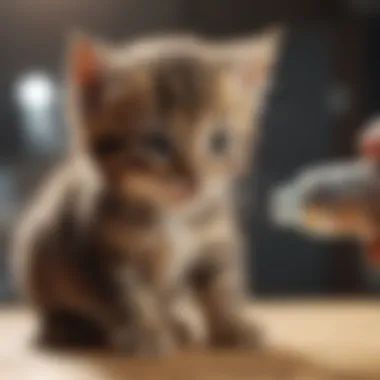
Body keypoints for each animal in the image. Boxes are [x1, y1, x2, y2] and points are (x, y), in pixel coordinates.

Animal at [13, 29, 280, 356]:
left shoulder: (215, 241)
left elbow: (221, 286)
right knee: (57, 312)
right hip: (38, 258)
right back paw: (68, 328)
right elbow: (130, 298)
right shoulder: (102, 256)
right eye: (157, 143)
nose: (194, 180)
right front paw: (145, 333)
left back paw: (175, 324)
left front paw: (233, 325)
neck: (170, 215)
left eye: (220, 141)